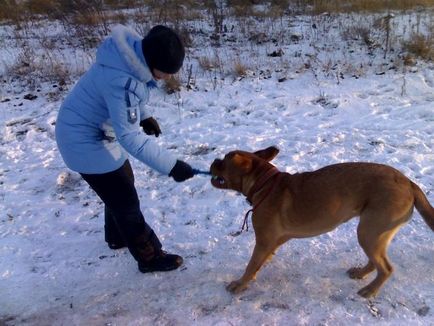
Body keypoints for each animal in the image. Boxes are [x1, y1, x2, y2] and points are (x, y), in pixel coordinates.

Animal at [209, 146, 434, 296]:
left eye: (224, 162)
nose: (213, 160)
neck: (265, 184)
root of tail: (409, 182)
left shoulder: (263, 241)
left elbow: (251, 265)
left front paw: (240, 284)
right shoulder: (273, 242)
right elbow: (258, 264)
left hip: (369, 231)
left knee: (386, 268)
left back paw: (369, 290)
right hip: (375, 234)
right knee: (375, 262)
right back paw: (361, 274)